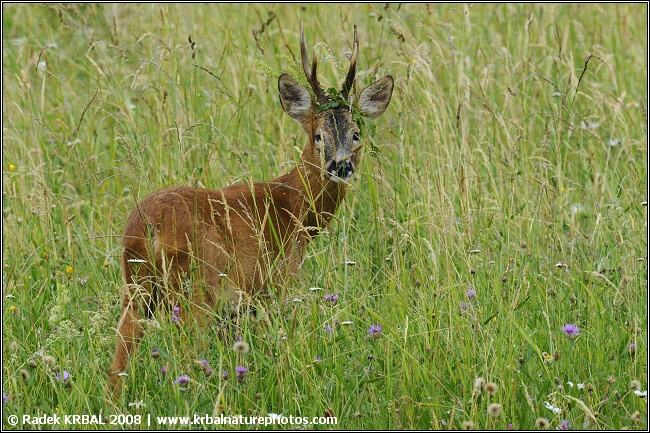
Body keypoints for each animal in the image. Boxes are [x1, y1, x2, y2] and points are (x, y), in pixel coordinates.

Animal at [108, 24, 393, 388]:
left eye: (356, 134)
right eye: (318, 135)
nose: (340, 165)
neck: (295, 208)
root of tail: (145, 224)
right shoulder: (279, 280)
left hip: (137, 285)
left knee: (118, 360)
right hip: (194, 288)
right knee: (182, 357)